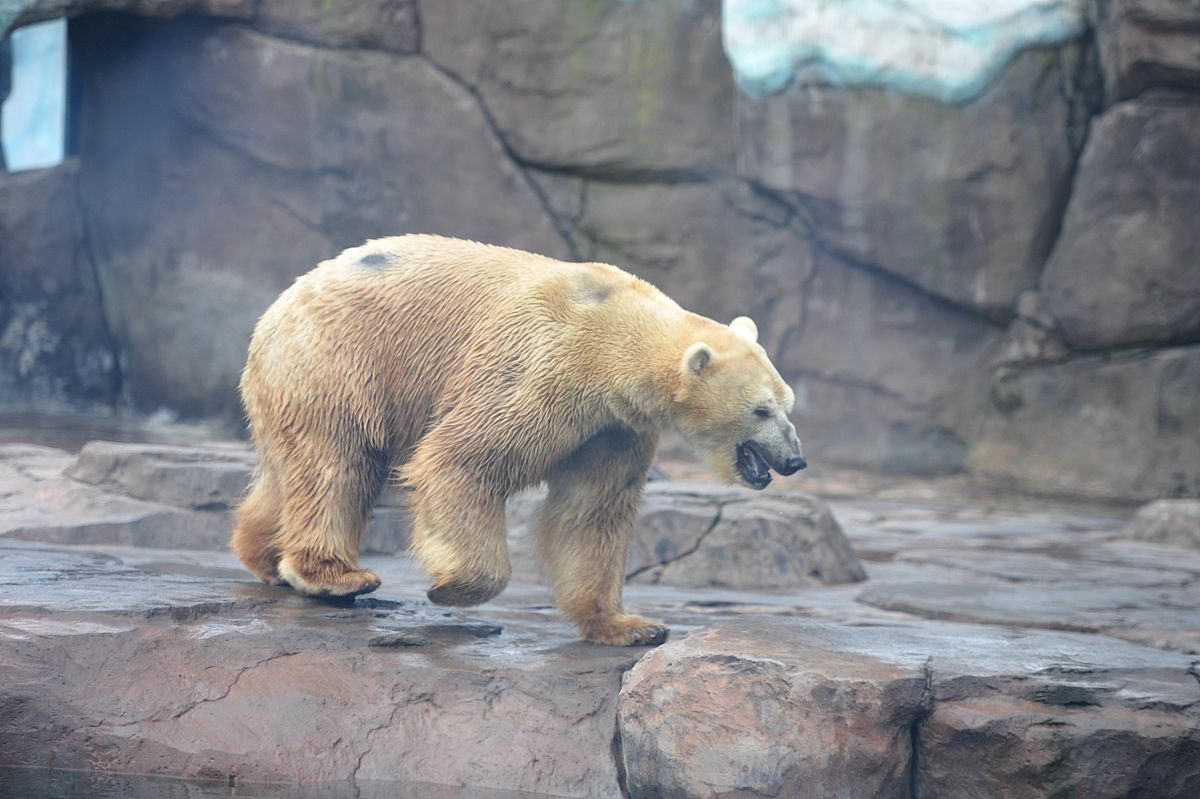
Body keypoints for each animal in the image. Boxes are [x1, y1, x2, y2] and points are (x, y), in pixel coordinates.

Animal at [231, 235, 805, 646]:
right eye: (760, 410)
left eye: (789, 404)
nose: (795, 459)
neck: (614, 336)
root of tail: (279, 308)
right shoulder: (541, 366)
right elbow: (464, 459)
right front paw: (452, 587)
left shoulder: (614, 428)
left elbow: (592, 510)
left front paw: (631, 625)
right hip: (339, 361)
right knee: (338, 462)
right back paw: (336, 575)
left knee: (292, 468)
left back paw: (267, 558)